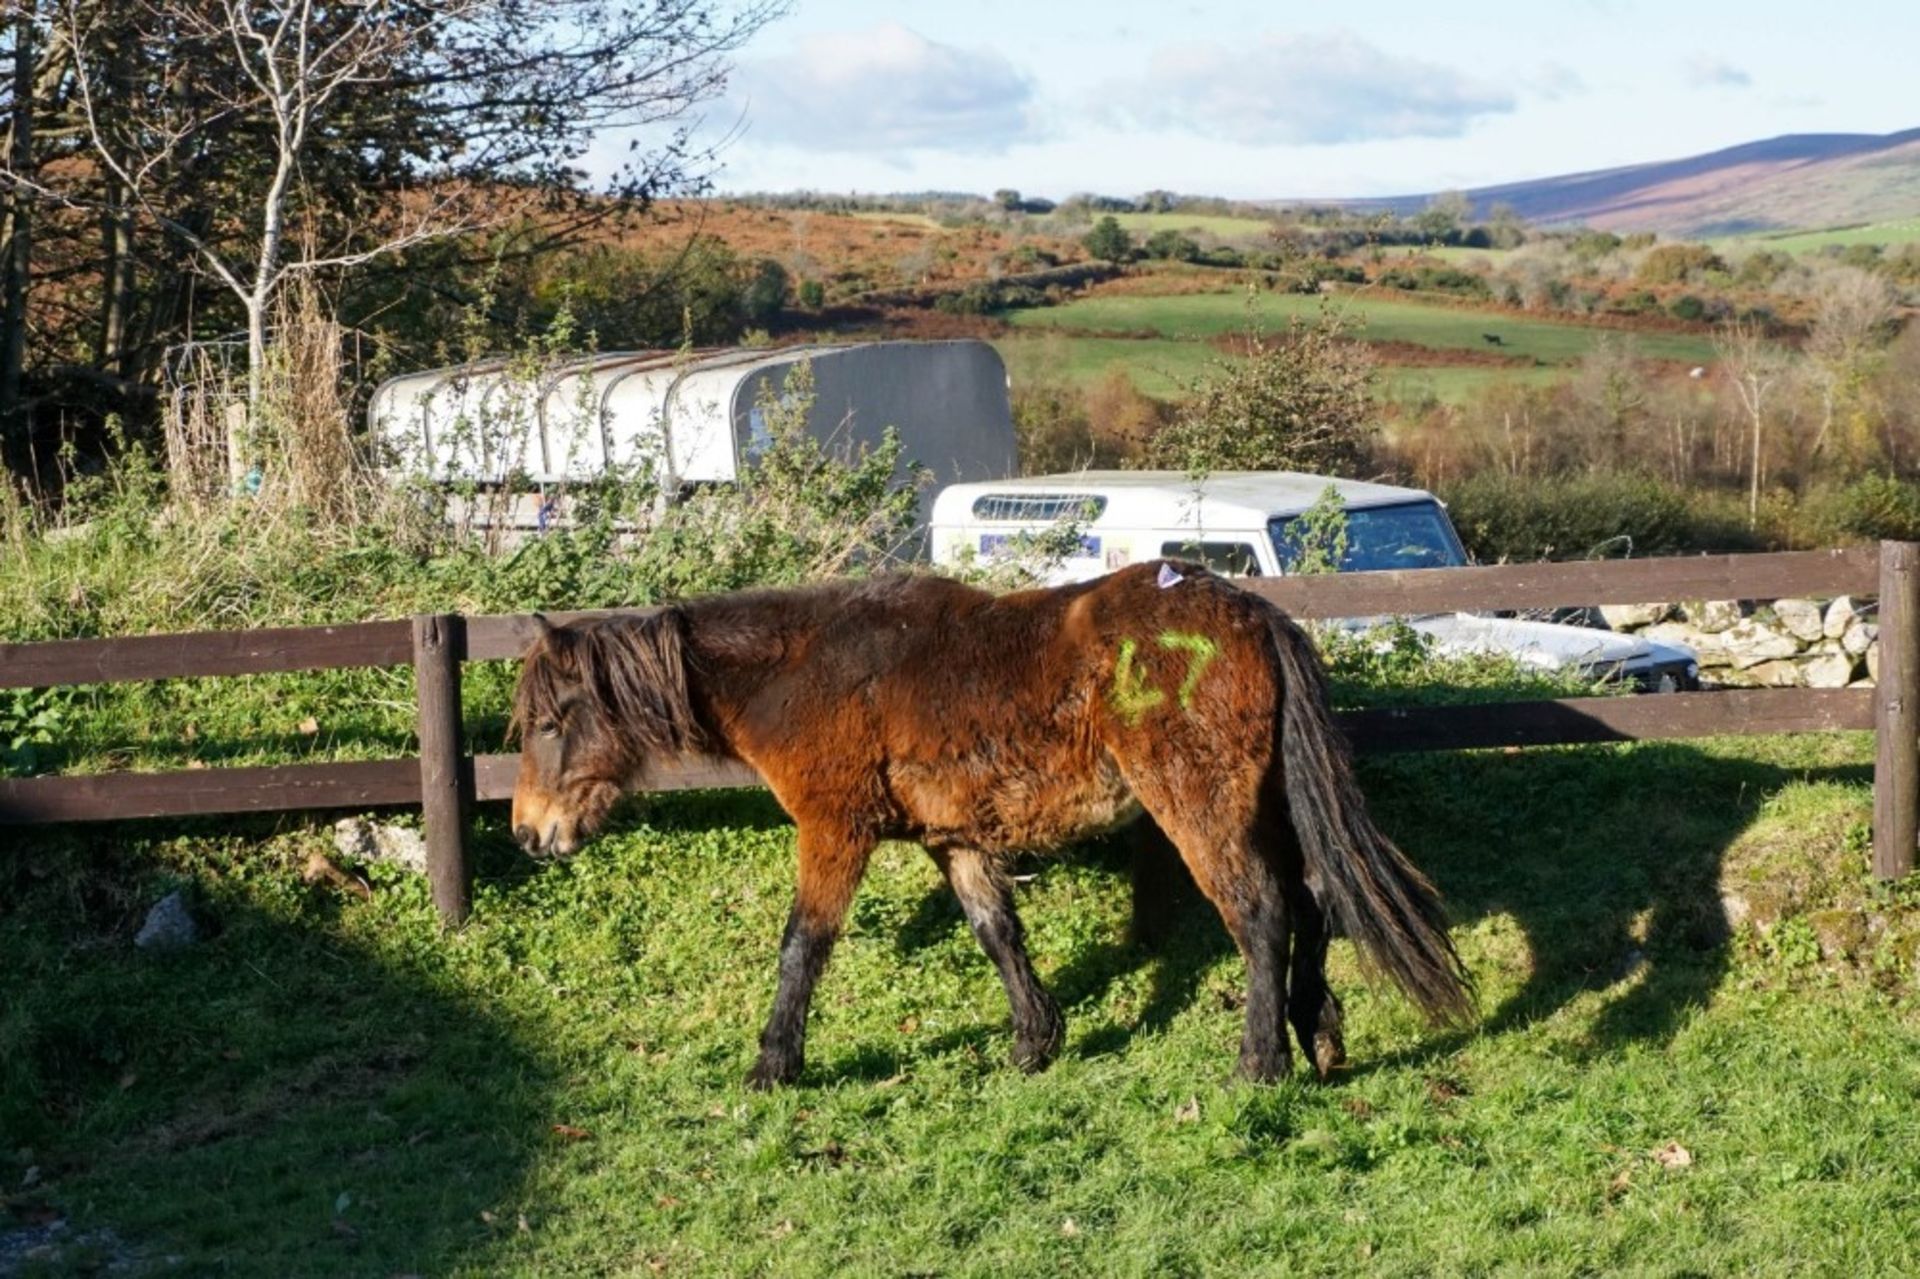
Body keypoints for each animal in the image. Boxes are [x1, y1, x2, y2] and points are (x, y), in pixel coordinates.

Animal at [510, 564, 1466, 1083]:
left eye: (553, 721)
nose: (528, 832)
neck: (806, 669)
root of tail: (1251, 613)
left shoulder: (834, 831)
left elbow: (802, 948)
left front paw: (774, 1064)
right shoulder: (956, 840)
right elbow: (997, 932)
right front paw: (1035, 1042)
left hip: (1200, 805)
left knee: (1262, 913)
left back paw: (1259, 1064)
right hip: (1261, 801)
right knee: (1313, 901)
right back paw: (1320, 1036)